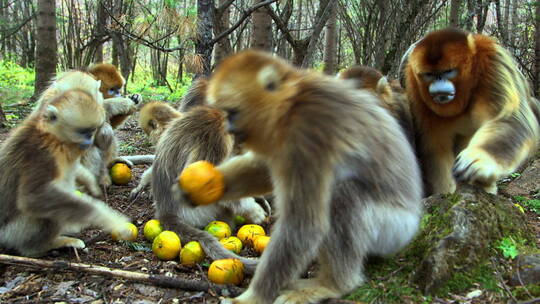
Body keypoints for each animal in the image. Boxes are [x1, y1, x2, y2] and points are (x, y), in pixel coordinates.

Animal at [184, 50, 424, 304]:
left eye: (232, 113)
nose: (229, 128)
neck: (292, 102)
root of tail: (413, 221)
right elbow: (263, 170)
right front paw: (204, 187)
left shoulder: (310, 132)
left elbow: (304, 224)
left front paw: (252, 298)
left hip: (393, 230)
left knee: (342, 196)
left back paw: (333, 284)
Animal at [400, 28, 540, 195]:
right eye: (429, 75)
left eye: (448, 71)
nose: (438, 86)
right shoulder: (412, 84)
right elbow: (434, 147)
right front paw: (445, 191)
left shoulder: (494, 63)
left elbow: (510, 119)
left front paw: (480, 159)